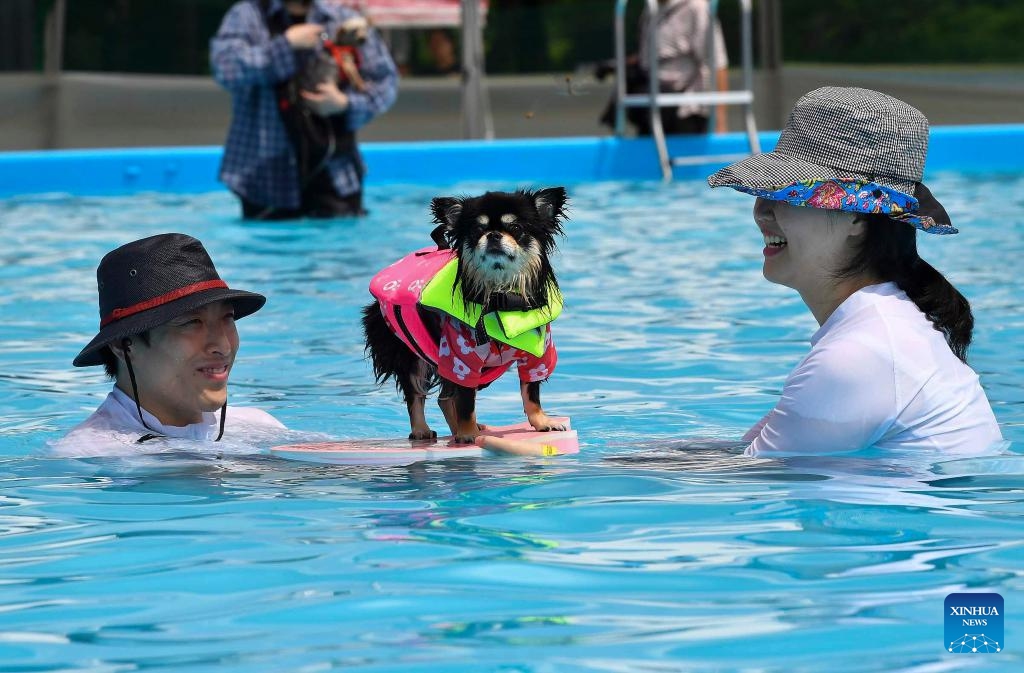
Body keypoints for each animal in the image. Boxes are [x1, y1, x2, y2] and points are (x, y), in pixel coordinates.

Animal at [360, 186, 569, 444]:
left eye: (516, 228)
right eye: (478, 230)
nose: (493, 235)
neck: (500, 297)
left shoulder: (537, 356)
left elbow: (531, 392)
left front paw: (541, 422)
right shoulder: (461, 359)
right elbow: (466, 401)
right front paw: (468, 433)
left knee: (446, 397)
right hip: (411, 353)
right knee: (416, 392)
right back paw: (424, 429)